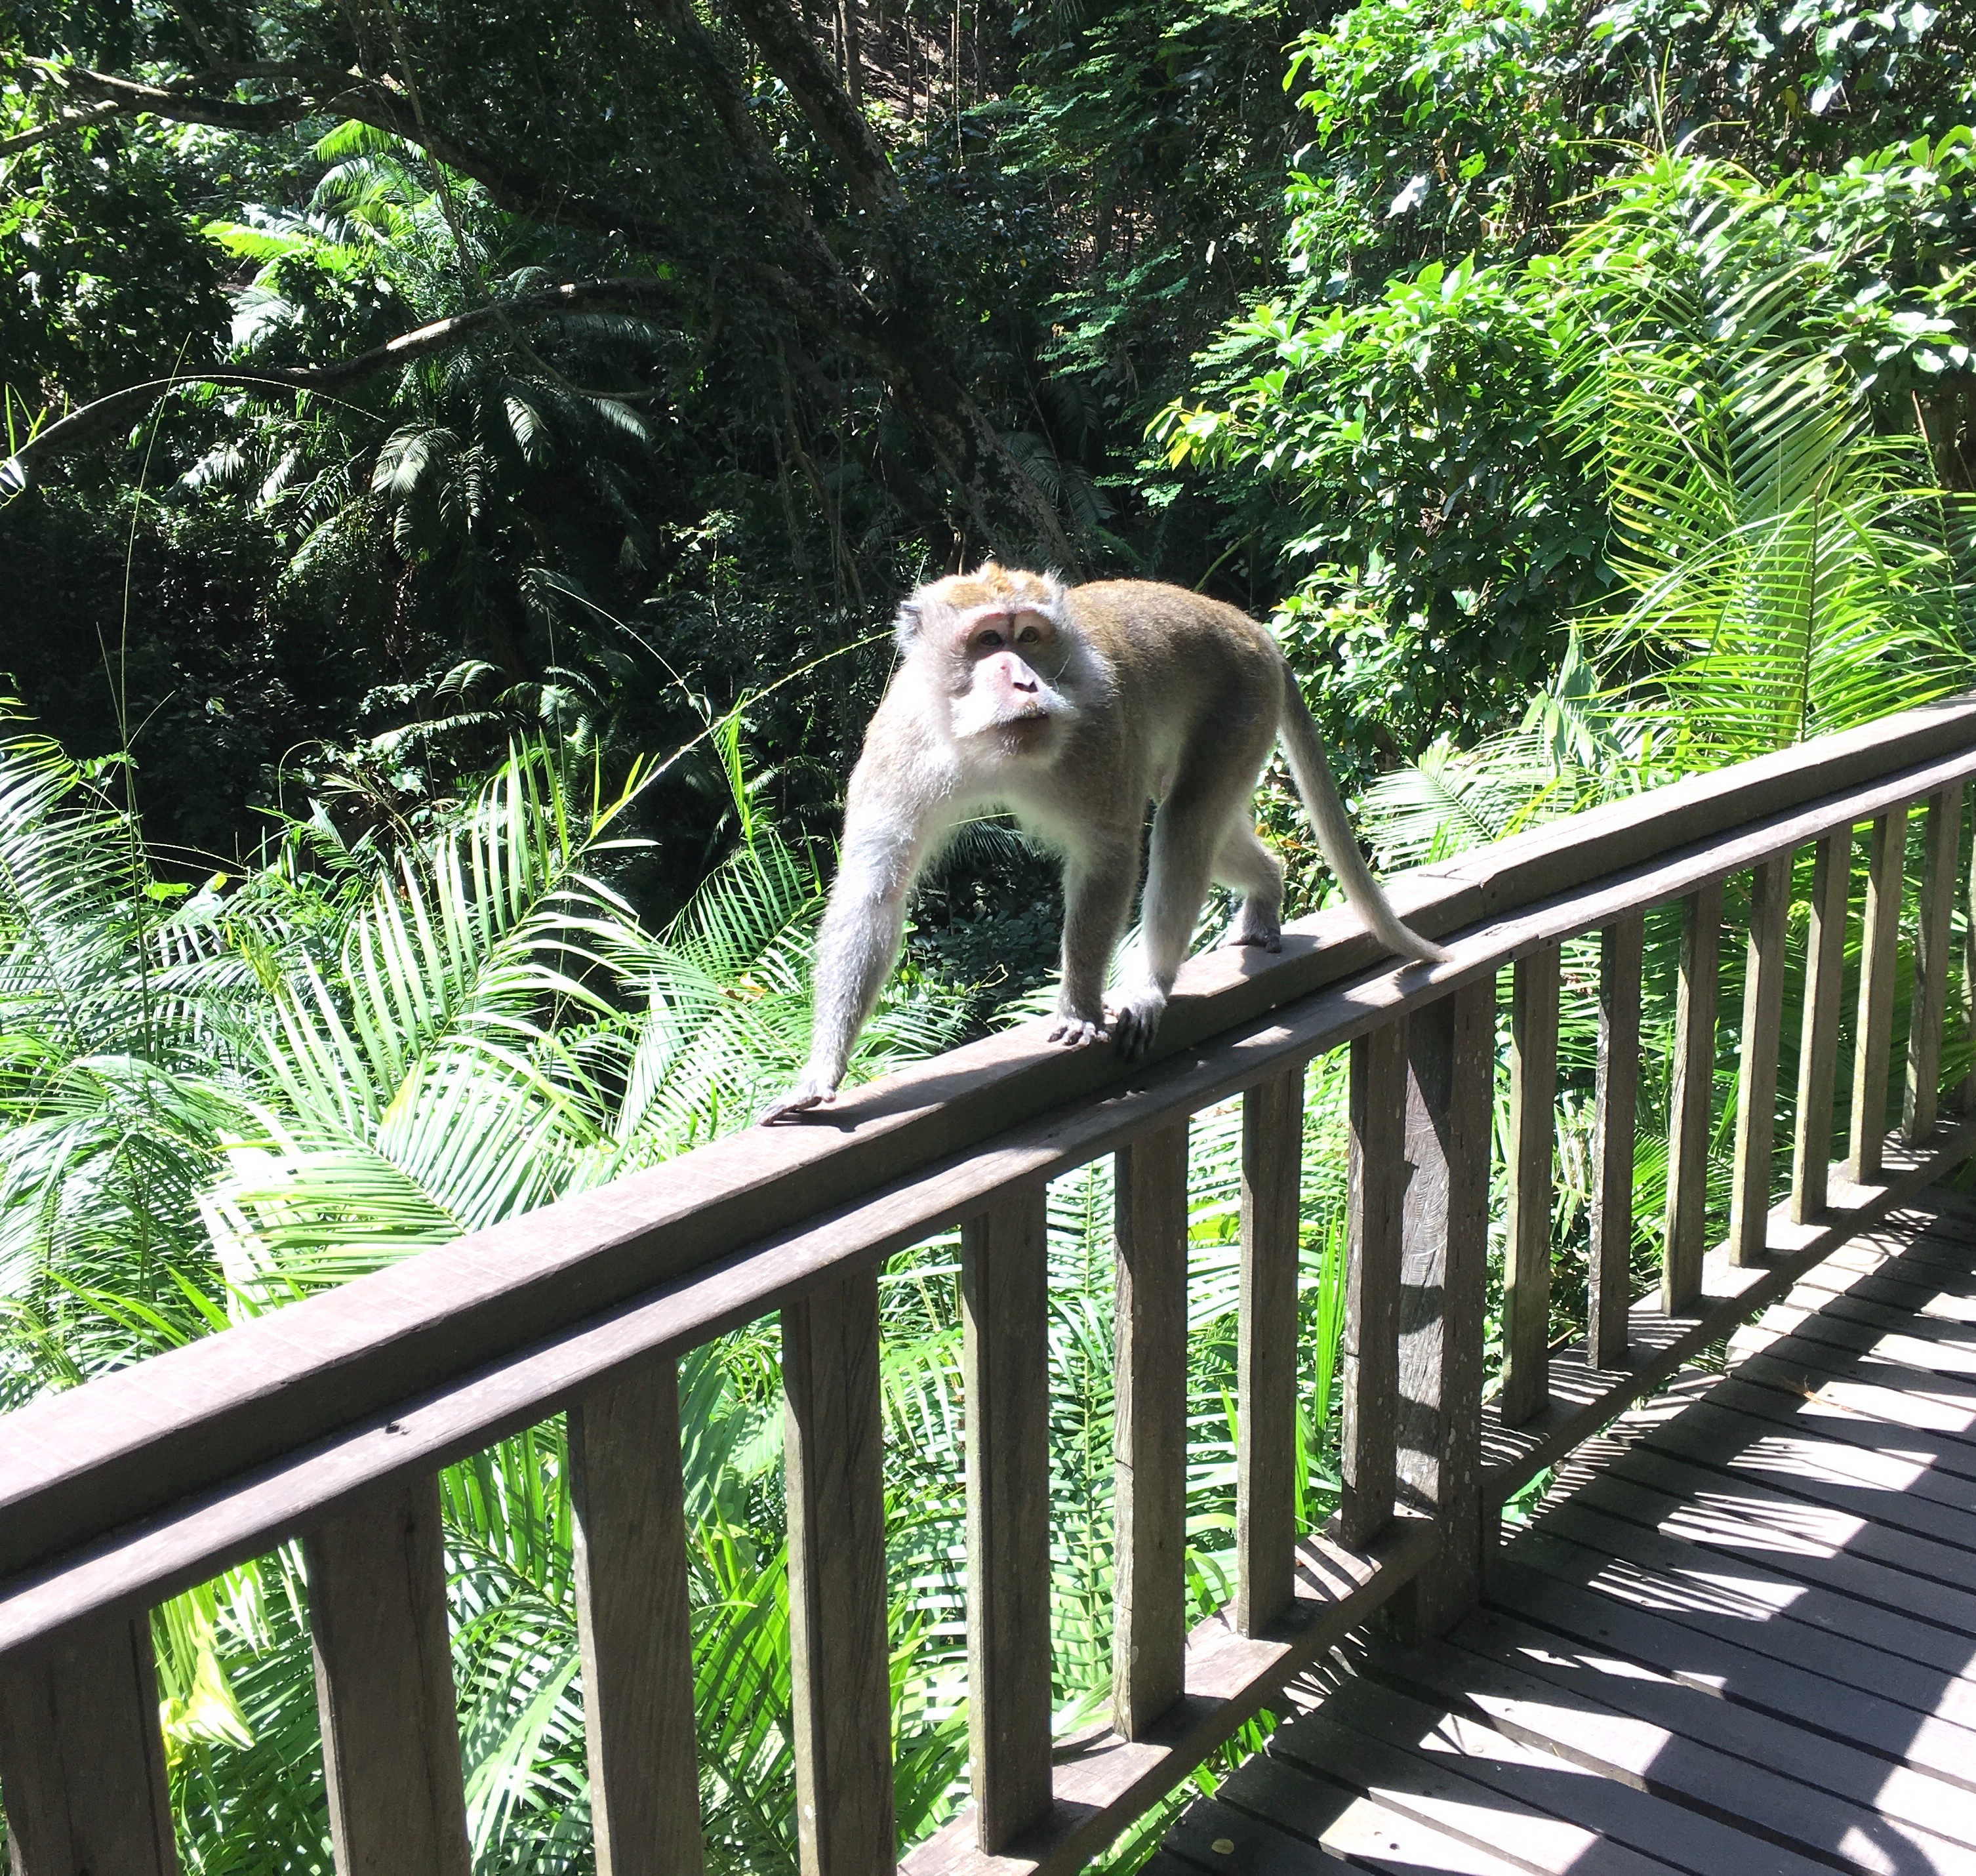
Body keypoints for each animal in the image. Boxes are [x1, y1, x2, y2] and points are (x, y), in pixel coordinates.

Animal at [759, 564, 1446, 1123]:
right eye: (988, 641)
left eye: (1028, 638)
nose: (1027, 684)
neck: (980, 739)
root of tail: (1249, 625)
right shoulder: (901, 744)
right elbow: (873, 892)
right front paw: (820, 1073)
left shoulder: (1099, 732)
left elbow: (1107, 856)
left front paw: (1081, 1007)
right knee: (1206, 825)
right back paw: (1267, 887)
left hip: (1242, 700)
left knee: (1186, 822)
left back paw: (1150, 984)